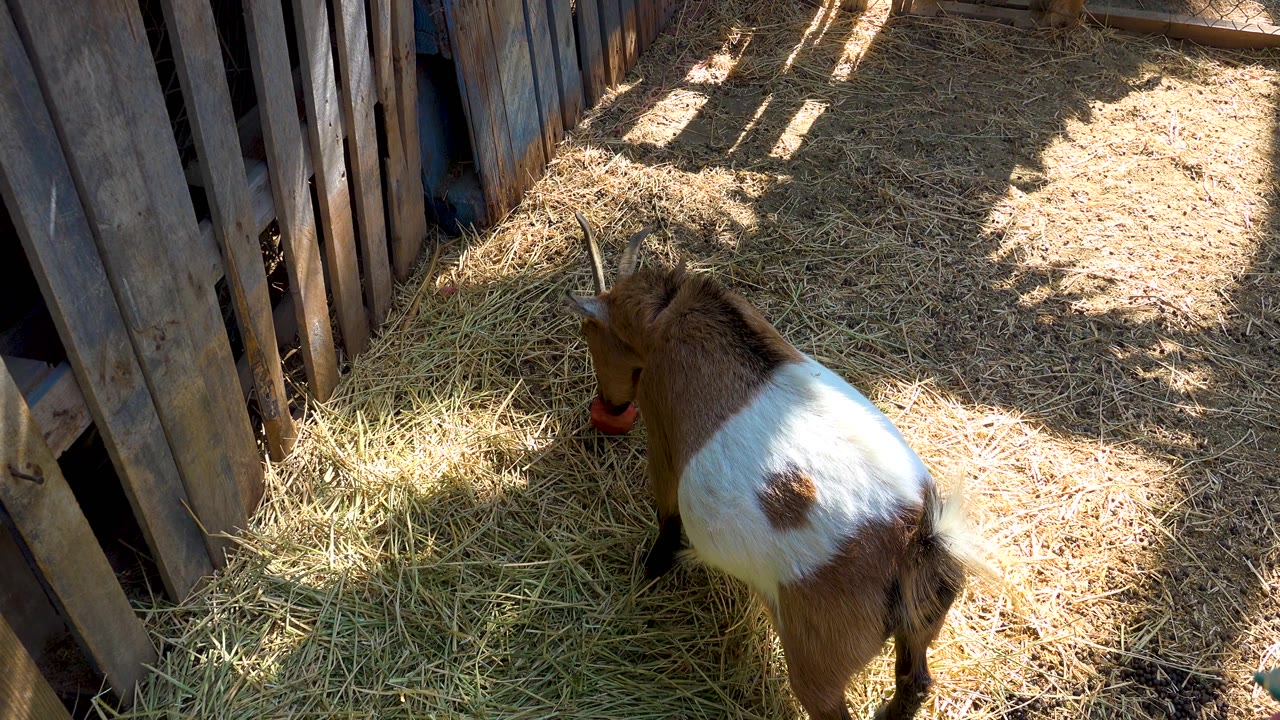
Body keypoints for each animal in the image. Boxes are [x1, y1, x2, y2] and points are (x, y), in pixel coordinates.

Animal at [565, 214, 996, 720]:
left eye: (589, 333)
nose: (610, 404)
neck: (669, 316)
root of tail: (915, 542)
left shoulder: (661, 433)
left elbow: (667, 508)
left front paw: (653, 567)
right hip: (921, 624)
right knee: (916, 681)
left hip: (818, 662)